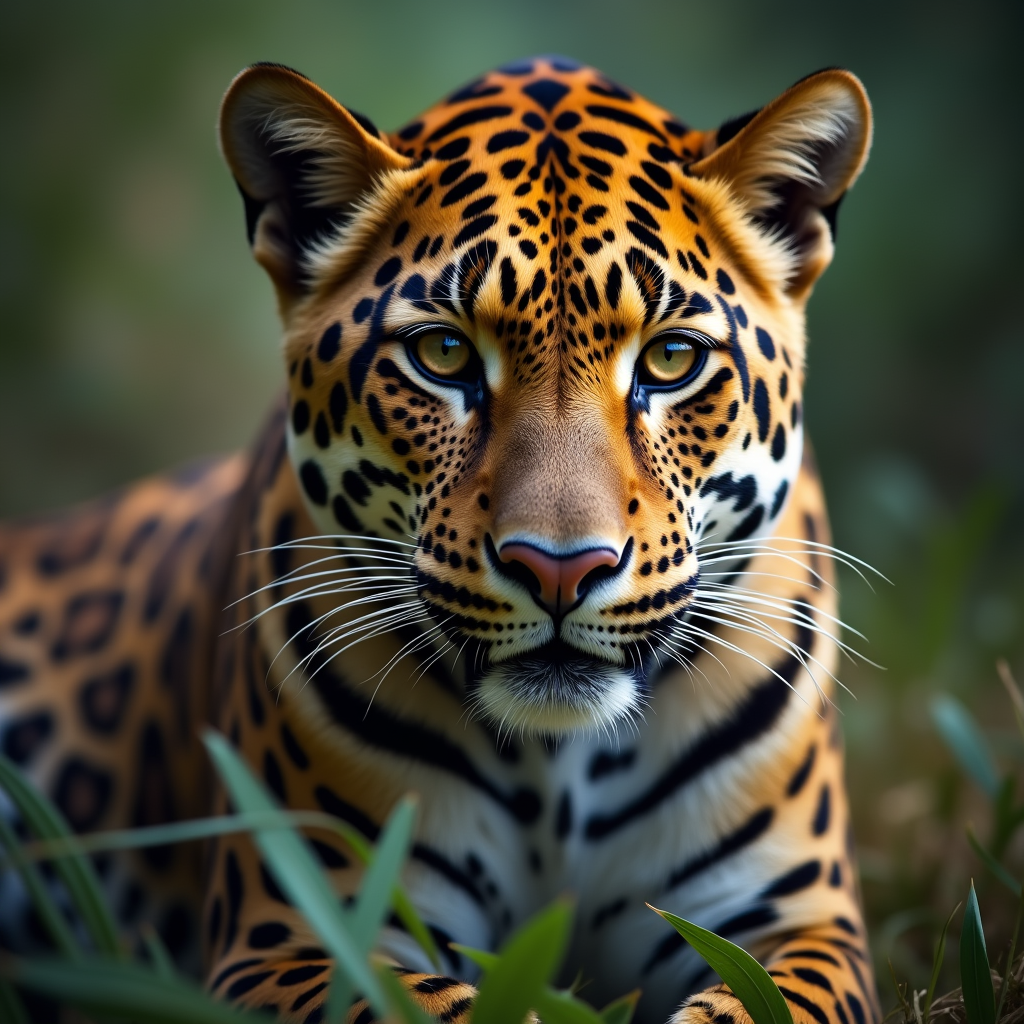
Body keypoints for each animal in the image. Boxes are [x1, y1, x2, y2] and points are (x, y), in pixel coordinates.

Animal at [0, 54, 879, 1024]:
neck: (556, 764)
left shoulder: (801, 924)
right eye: (445, 356)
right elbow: (438, 1004)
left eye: (672, 360)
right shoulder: (293, 936)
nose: (560, 570)